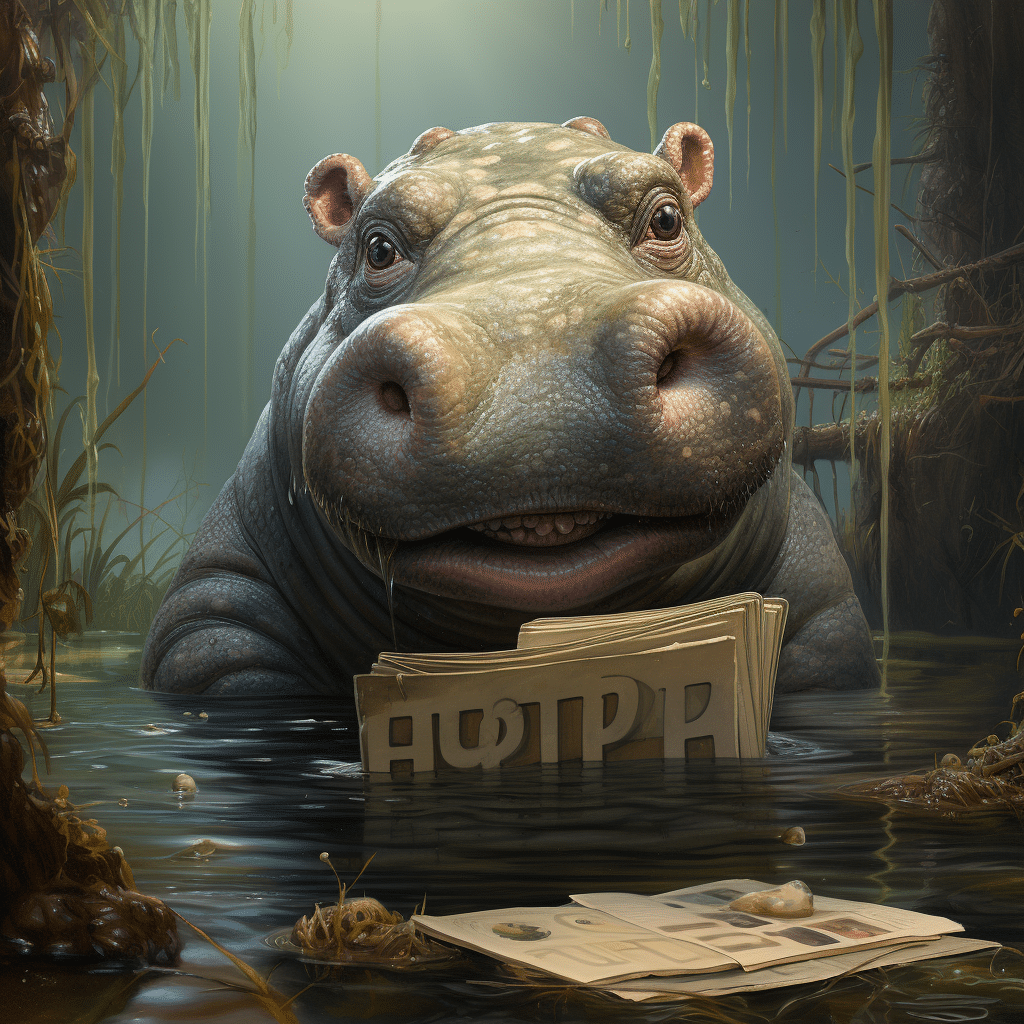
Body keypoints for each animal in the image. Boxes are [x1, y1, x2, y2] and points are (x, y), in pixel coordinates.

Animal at [142, 117, 879, 698]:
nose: (536, 366)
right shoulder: (213, 620)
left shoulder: (823, 616)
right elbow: (224, 652)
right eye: (376, 245)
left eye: (667, 216)